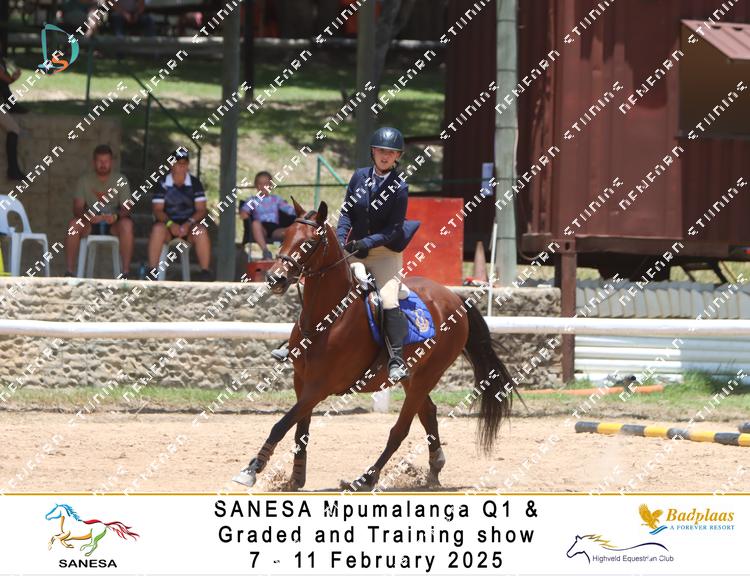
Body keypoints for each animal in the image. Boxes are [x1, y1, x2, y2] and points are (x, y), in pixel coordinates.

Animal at [233, 199, 516, 491]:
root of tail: (455, 298)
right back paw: (434, 469)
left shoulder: (319, 387)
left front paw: (252, 469)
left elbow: (282, 424)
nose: (274, 278)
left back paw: (367, 478)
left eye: (309, 243)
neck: (327, 319)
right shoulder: (302, 381)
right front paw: (295, 478)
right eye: (286, 236)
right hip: (412, 377)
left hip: (428, 375)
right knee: (428, 413)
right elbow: (300, 429)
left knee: (400, 430)